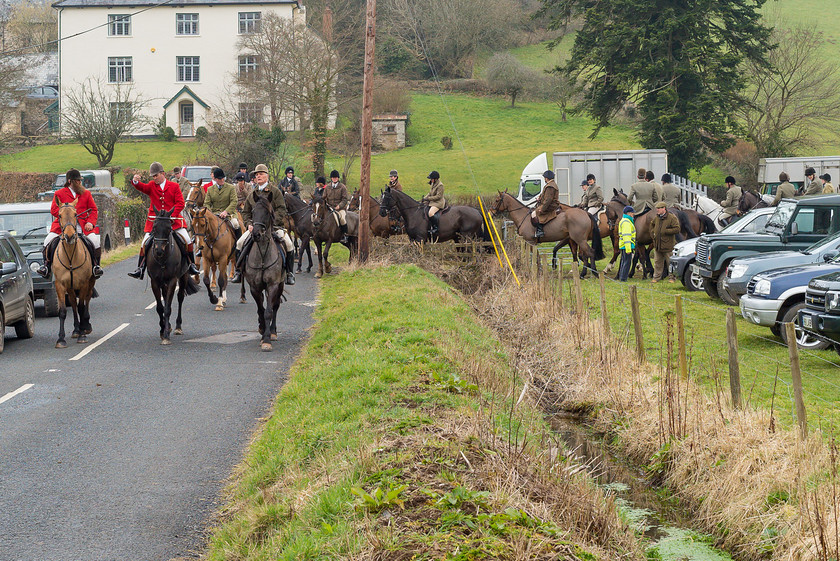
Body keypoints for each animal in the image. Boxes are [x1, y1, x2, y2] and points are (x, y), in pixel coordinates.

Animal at [51, 203, 95, 348]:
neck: (70, 256)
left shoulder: (83, 283)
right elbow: (63, 311)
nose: (69, 236)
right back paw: (76, 329)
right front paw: (61, 339)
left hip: (91, 282)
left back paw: (85, 326)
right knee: (73, 304)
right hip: (70, 287)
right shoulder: (60, 285)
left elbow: (81, 307)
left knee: (87, 300)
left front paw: (82, 335)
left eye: (76, 214)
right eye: (59, 215)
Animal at [147, 208, 199, 344]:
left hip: (183, 276)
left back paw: (177, 327)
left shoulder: (172, 280)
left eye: (169, 228)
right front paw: (162, 330)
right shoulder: (155, 282)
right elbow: (160, 308)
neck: (162, 258)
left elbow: (167, 308)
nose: (159, 250)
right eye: (154, 227)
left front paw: (165, 335)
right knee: (166, 298)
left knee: (180, 297)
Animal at [244, 190, 288, 352]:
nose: (256, 234)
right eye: (253, 212)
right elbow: (261, 310)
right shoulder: (255, 287)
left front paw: (267, 339)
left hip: (280, 285)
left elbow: (269, 311)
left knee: (275, 306)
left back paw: (273, 332)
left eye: (268, 213)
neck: (263, 254)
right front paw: (263, 331)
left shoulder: (273, 285)